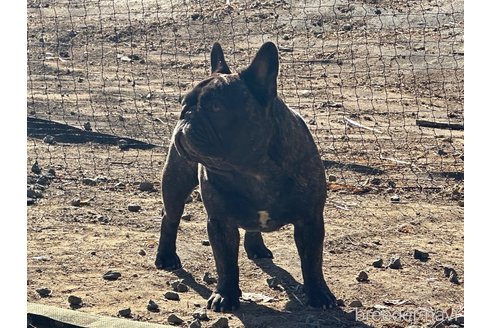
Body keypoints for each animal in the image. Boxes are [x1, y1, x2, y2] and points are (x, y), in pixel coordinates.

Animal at [156, 42, 336, 312]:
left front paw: (319, 294)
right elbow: (226, 263)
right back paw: (166, 256)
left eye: (216, 107)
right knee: (170, 218)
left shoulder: (310, 220)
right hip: (175, 183)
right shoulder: (220, 222)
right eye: (184, 104)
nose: (186, 115)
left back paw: (256, 247)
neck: (251, 170)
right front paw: (225, 295)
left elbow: (312, 261)